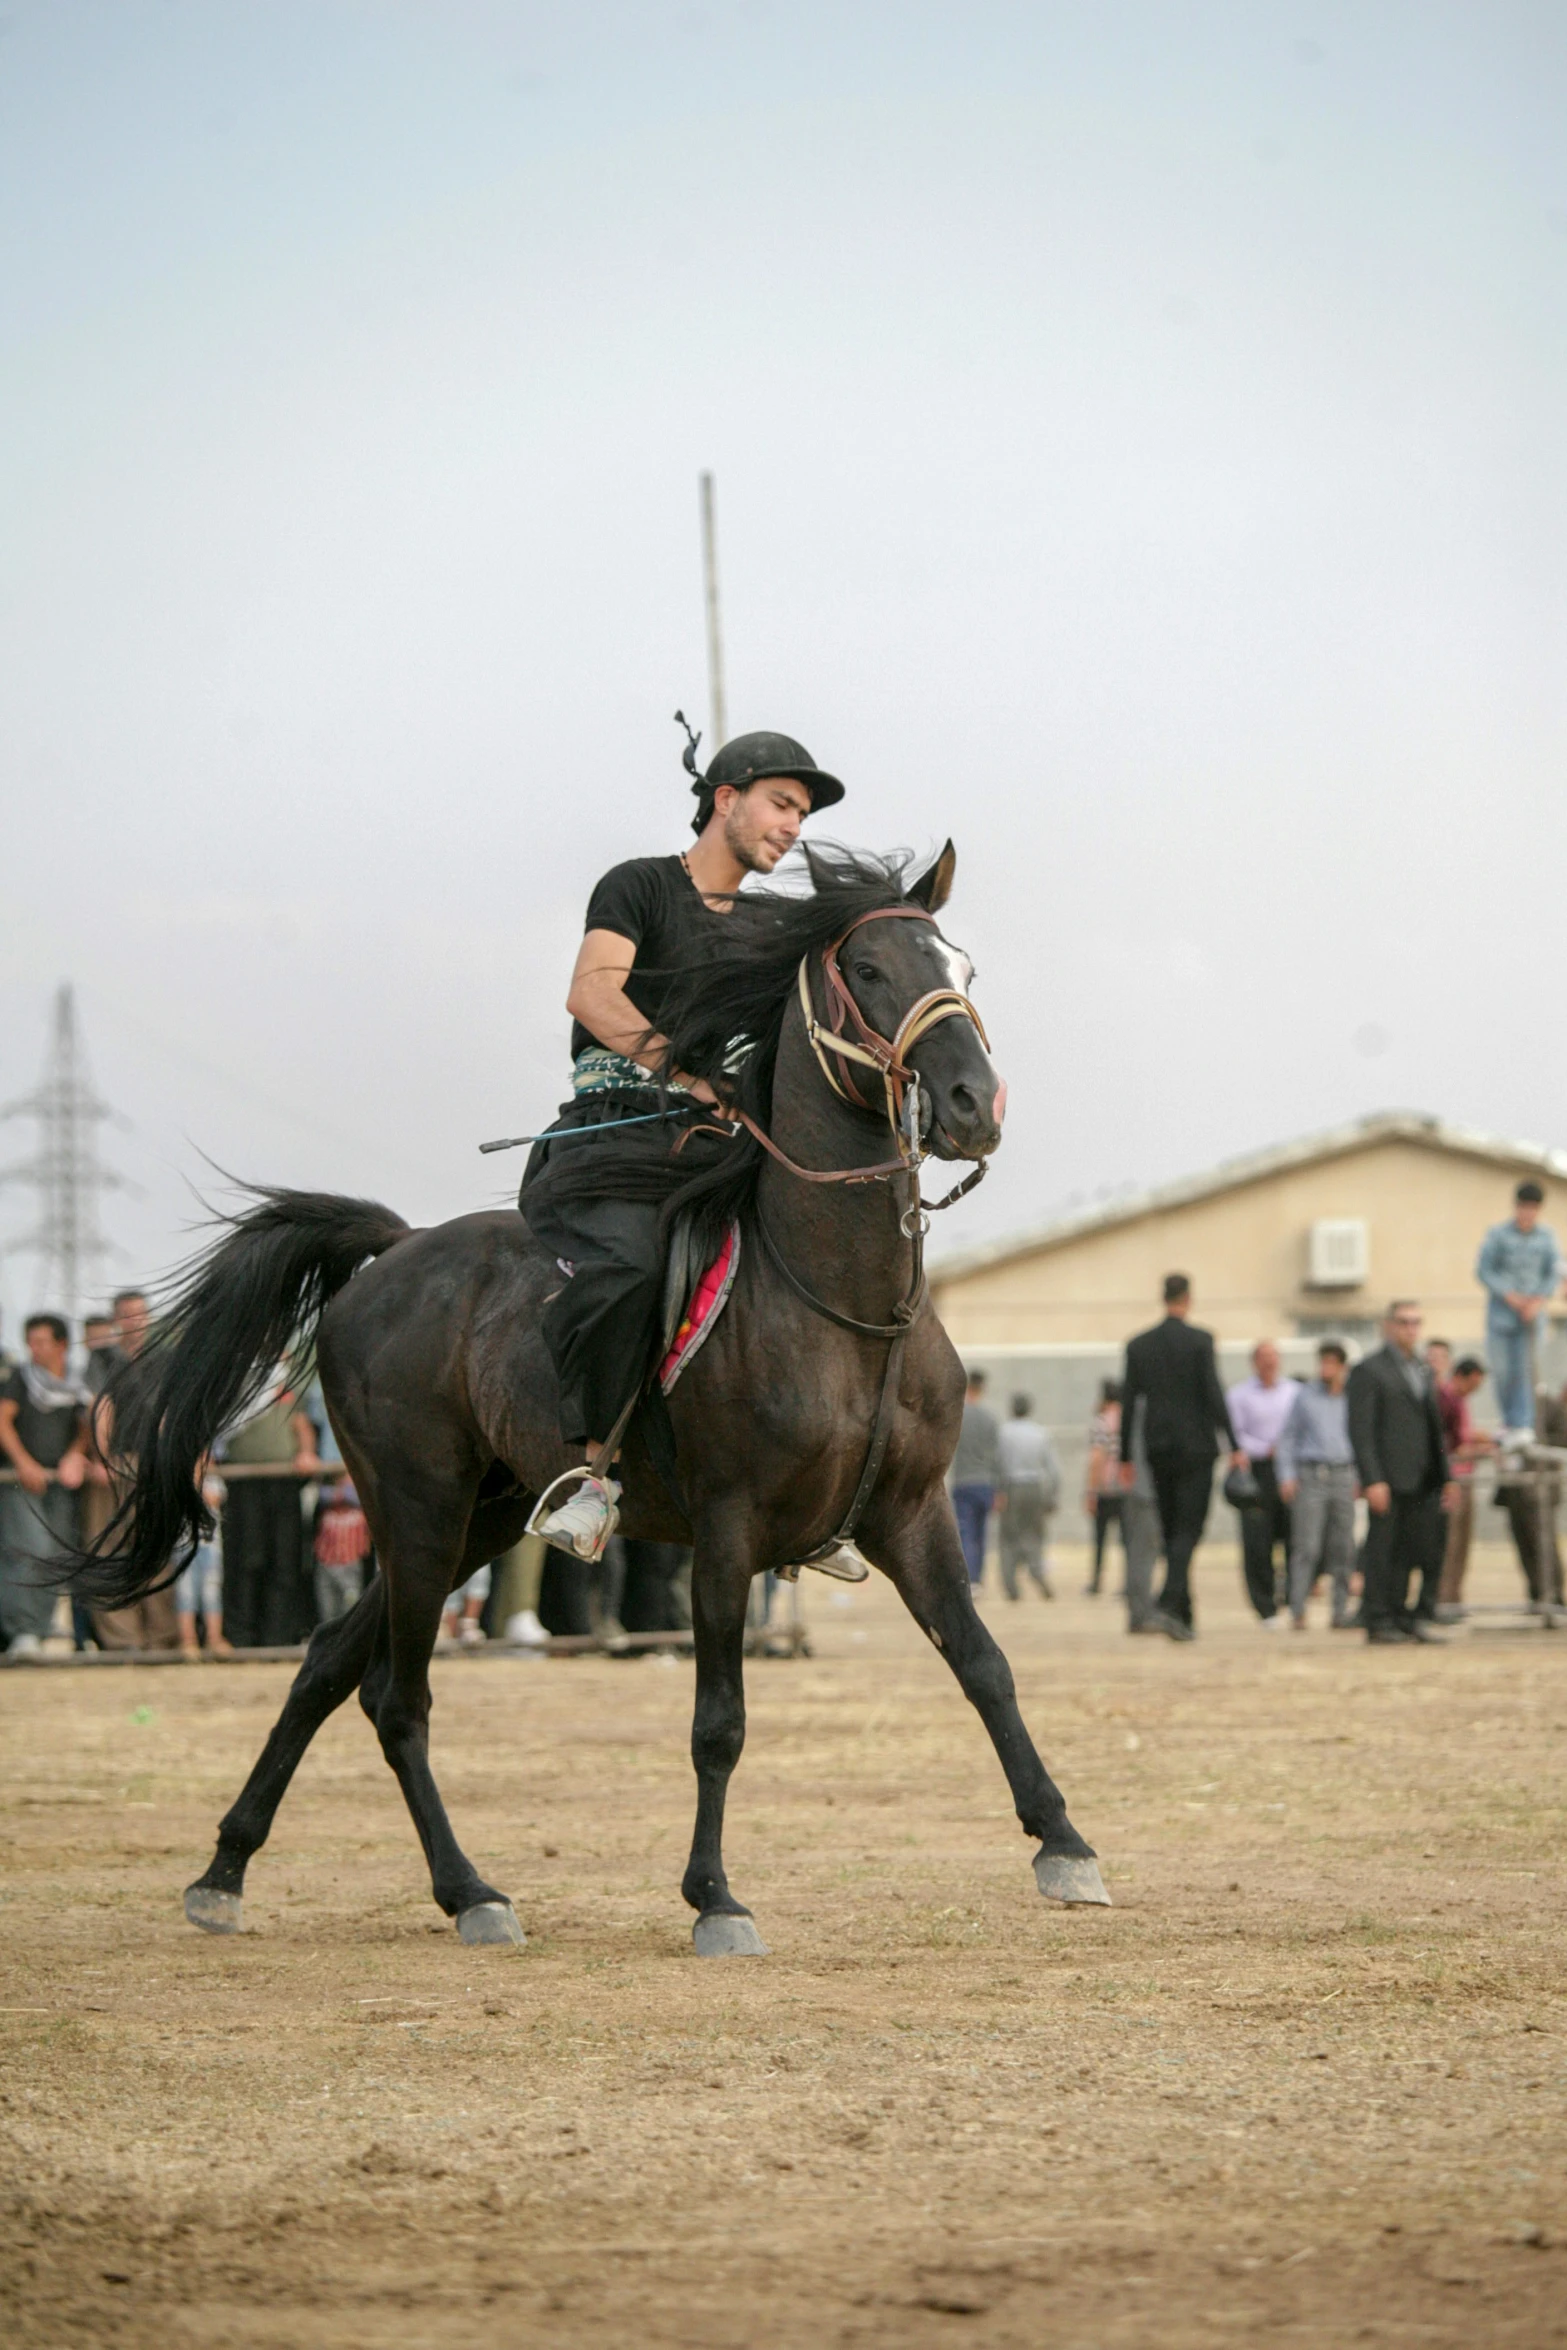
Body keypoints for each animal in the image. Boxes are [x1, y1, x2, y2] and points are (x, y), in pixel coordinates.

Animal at [73, 845, 1104, 1945]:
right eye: (866, 970)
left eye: (961, 965)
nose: (973, 1104)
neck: (842, 1304)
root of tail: (395, 1251)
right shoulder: (727, 1531)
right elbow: (718, 1721)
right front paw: (714, 1897)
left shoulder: (912, 1514)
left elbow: (984, 1665)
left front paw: (1063, 1843)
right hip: (417, 1506)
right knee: (396, 1696)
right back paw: (470, 1891)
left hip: (477, 1516)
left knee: (324, 1664)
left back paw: (227, 1869)